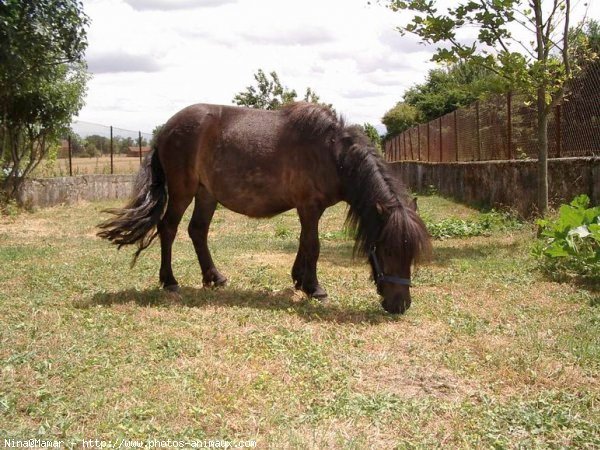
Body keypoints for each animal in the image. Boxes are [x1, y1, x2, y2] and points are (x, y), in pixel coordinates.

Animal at [96, 103, 428, 312]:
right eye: (386, 251)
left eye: (411, 254)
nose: (401, 305)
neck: (332, 154)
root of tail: (165, 130)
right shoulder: (309, 207)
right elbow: (313, 245)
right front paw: (315, 288)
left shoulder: (309, 210)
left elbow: (304, 243)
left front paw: (300, 280)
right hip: (182, 191)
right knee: (168, 229)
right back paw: (170, 281)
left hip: (207, 194)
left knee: (197, 231)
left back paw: (214, 277)